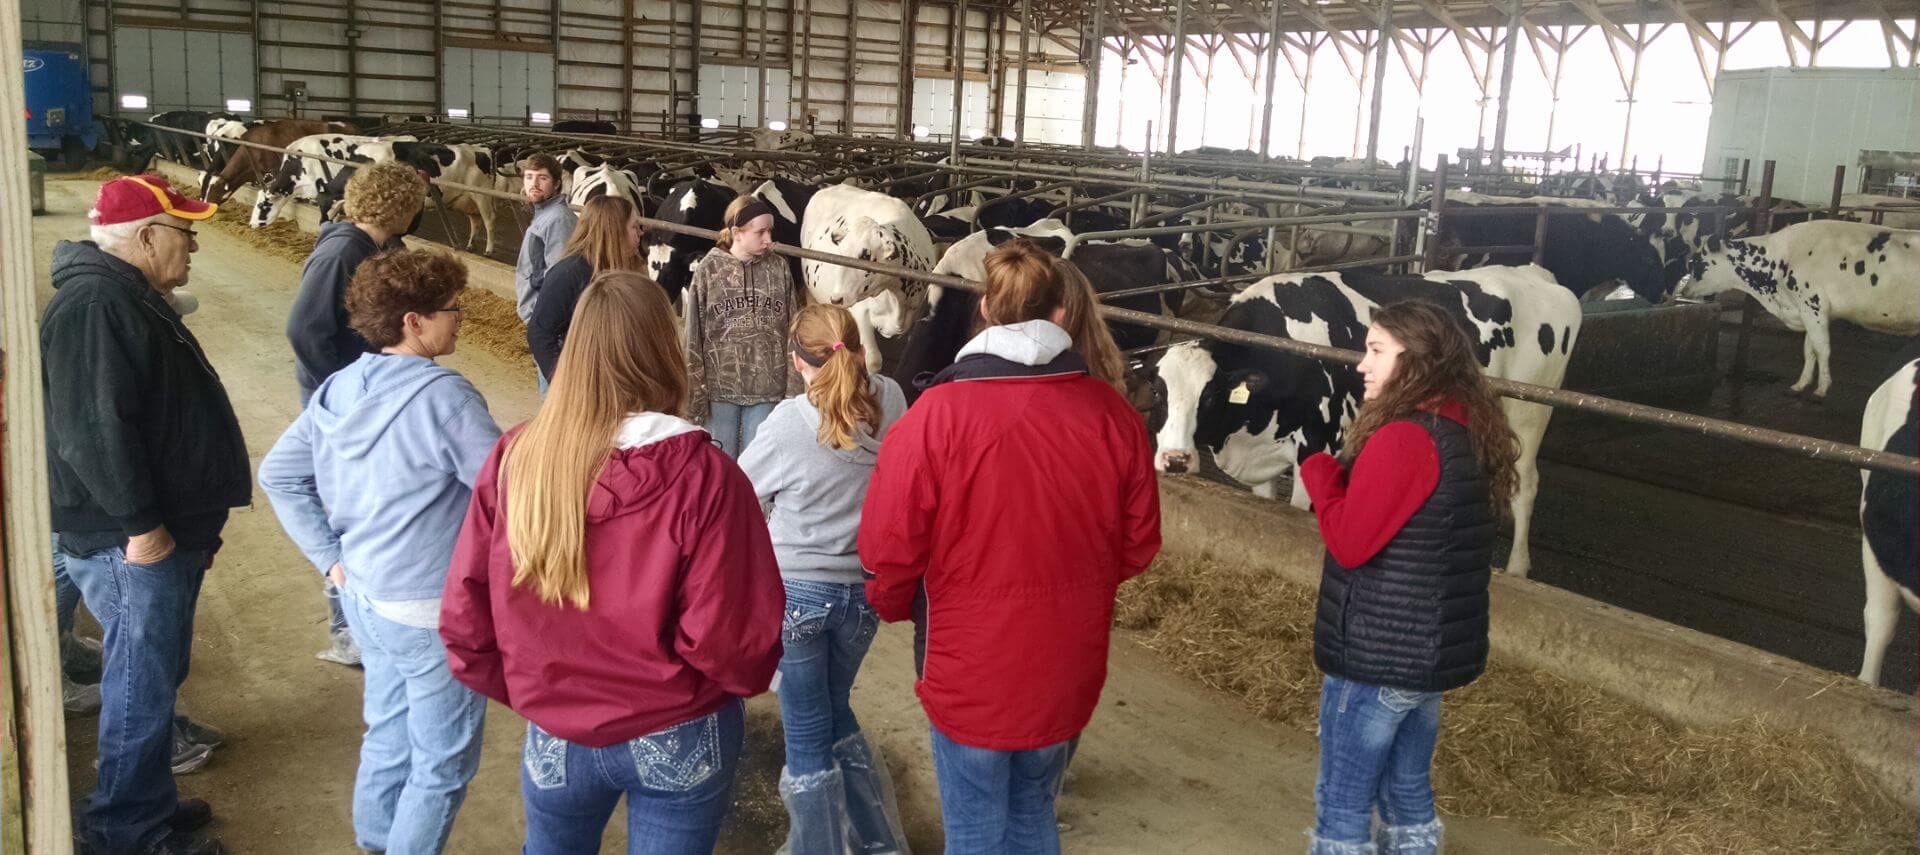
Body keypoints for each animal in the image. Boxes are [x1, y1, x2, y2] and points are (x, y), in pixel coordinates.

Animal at [1152, 263, 1574, 576]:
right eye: (1159, 393)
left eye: (1208, 396)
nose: (1175, 459)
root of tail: (1535, 273)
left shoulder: (1317, 445)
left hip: (1530, 413)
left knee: (1526, 484)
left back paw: (1517, 568)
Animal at [1681, 218, 1920, 395]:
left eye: (1697, 263)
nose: (1684, 291)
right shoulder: (1806, 310)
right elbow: (1809, 349)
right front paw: (1801, 384)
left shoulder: (1813, 305)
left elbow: (1822, 349)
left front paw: (1822, 388)